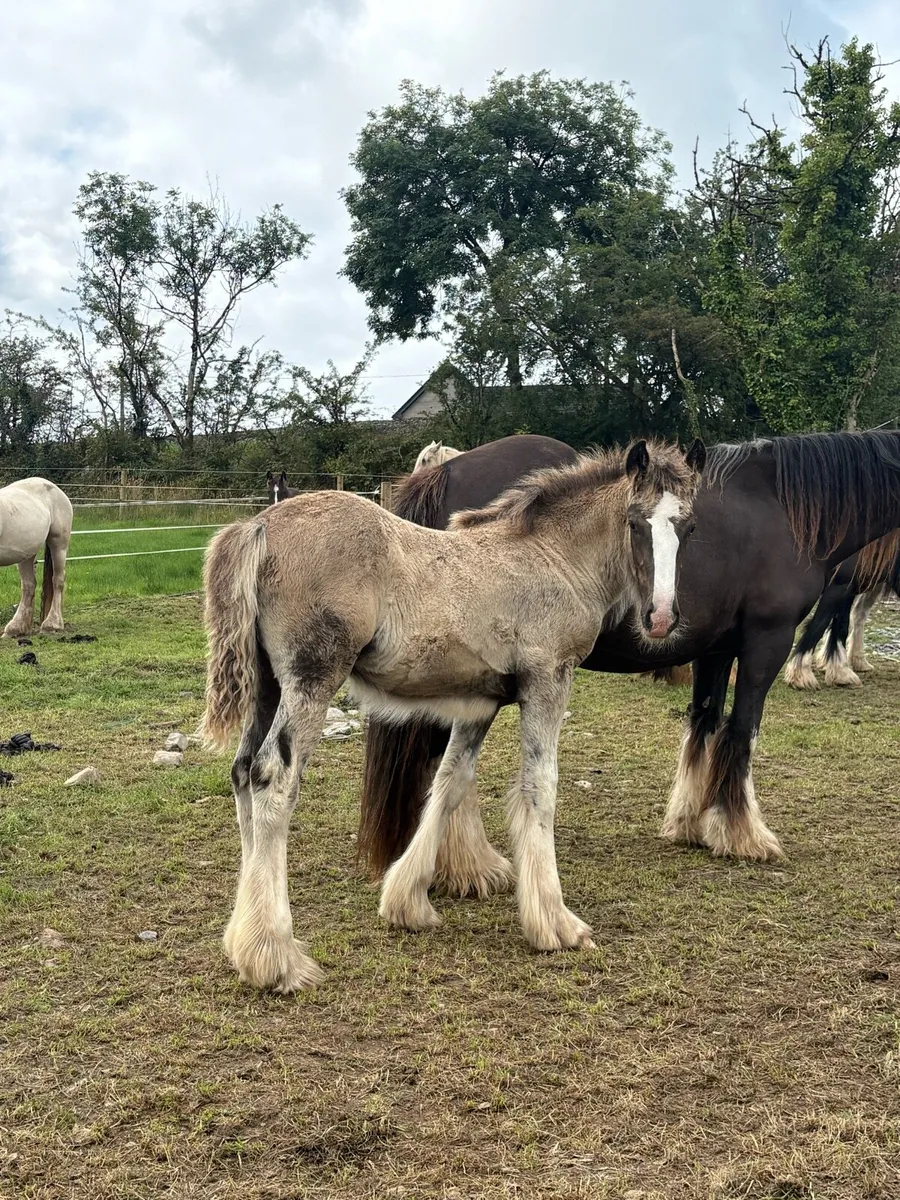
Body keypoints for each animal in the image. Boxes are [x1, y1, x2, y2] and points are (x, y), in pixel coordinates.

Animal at [0, 478, 73, 638]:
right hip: (27, 553)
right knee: (29, 585)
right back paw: (16, 628)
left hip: (59, 543)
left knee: (58, 581)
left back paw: (51, 624)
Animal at [201, 439, 705, 992]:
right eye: (636, 522)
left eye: (689, 526)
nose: (662, 617)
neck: (552, 557)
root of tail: (259, 525)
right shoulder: (548, 681)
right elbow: (540, 788)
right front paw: (555, 922)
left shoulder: (479, 702)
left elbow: (449, 781)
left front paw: (408, 901)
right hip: (311, 680)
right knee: (273, 779)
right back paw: (276, 956)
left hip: (267, 687)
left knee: (243, 773)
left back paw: (243, 941)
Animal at [784, 530, 900, 690]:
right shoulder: (838, 586)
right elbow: (819, 625)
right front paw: (801, 674)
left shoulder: (849, 587)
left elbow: (841, 625)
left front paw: (840, 671)